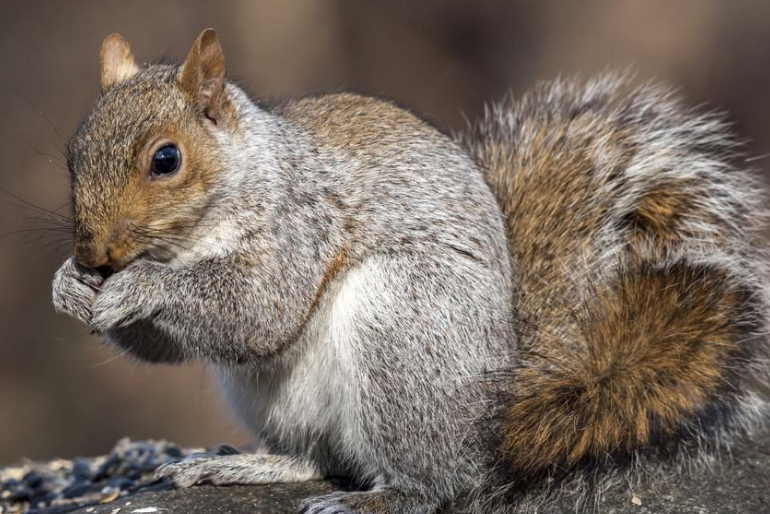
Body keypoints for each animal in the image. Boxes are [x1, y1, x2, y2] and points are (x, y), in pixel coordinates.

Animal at [52, 30, 768, 510]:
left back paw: (381, 497)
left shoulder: (300, 224)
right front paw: (69, 286)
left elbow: (256, 312)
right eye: (72, 153)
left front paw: (139, 286)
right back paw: (249, 468)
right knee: (319, 458)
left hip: (403, 328)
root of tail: (496, 413)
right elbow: (170, 348)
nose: (92, 256)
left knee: (438, 482)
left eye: (166, 159)